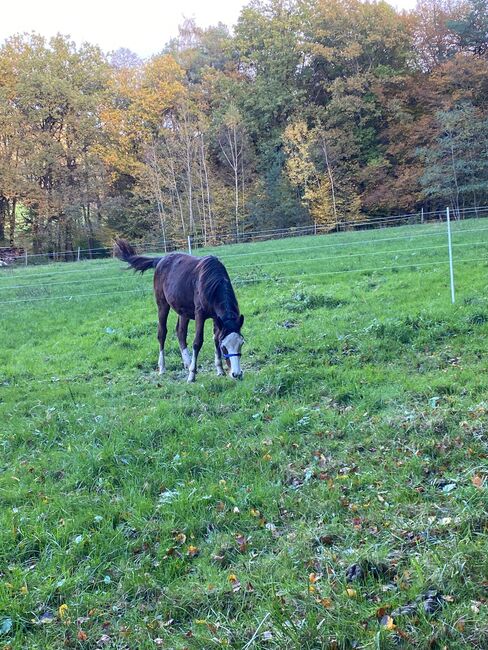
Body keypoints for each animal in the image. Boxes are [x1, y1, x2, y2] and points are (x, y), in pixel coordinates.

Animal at [114, 238, 244, 380]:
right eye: (224, 347)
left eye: (241, 344)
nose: (237, 374)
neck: (211, 283)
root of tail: (160, 260)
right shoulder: (200, 314)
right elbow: (198, 342)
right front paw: (192, 375)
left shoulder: (217, 317)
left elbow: (215, 338)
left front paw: (219, 369)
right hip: (162, 305)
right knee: (162, 333)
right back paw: (163, 368)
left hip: (183, 312)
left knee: (180, 333)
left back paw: (187, 363)